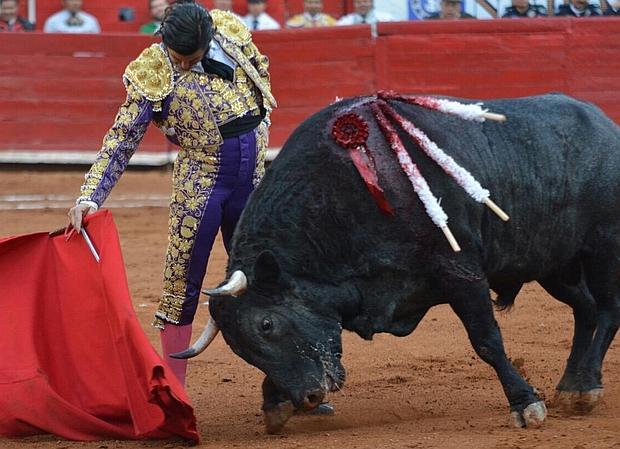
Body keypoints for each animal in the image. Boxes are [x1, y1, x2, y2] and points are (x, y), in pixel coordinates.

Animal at [171, 93, 620, 432]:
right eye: (240, 349)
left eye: (266, 325)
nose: (309, 397)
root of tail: (605, 124)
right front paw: (273, 403)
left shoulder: (461, 272)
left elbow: (487, 341)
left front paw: (525, 404)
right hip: (554, 263)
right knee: (585, 309)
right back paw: (574, 388)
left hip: (602, 246)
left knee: (608, 309)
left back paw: (586, 387)